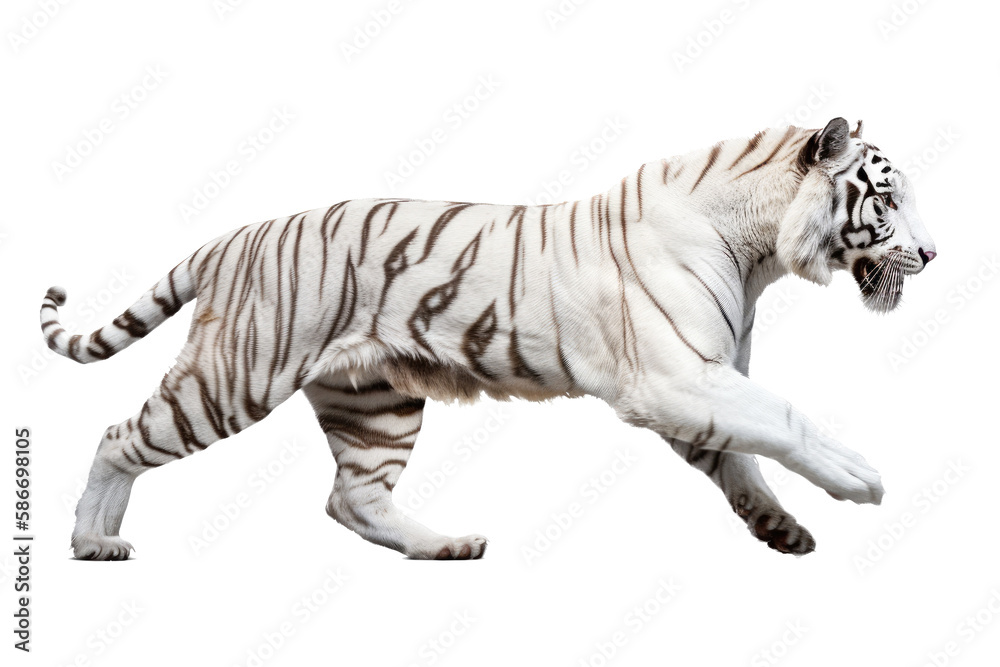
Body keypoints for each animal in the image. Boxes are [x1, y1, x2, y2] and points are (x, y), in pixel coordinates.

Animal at [41, 116, 935, 561]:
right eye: (888, 197)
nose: (932, 254)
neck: (758, 252)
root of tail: (232, 236)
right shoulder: (675, 377)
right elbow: (784, 418)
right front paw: (859, 476)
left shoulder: (699, 384)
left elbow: (742, 458)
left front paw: (781, 528)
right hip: (236, 376)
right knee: (118, 434)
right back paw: (91, 540)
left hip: (376, 400)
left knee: (353, 496)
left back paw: (443, 546)